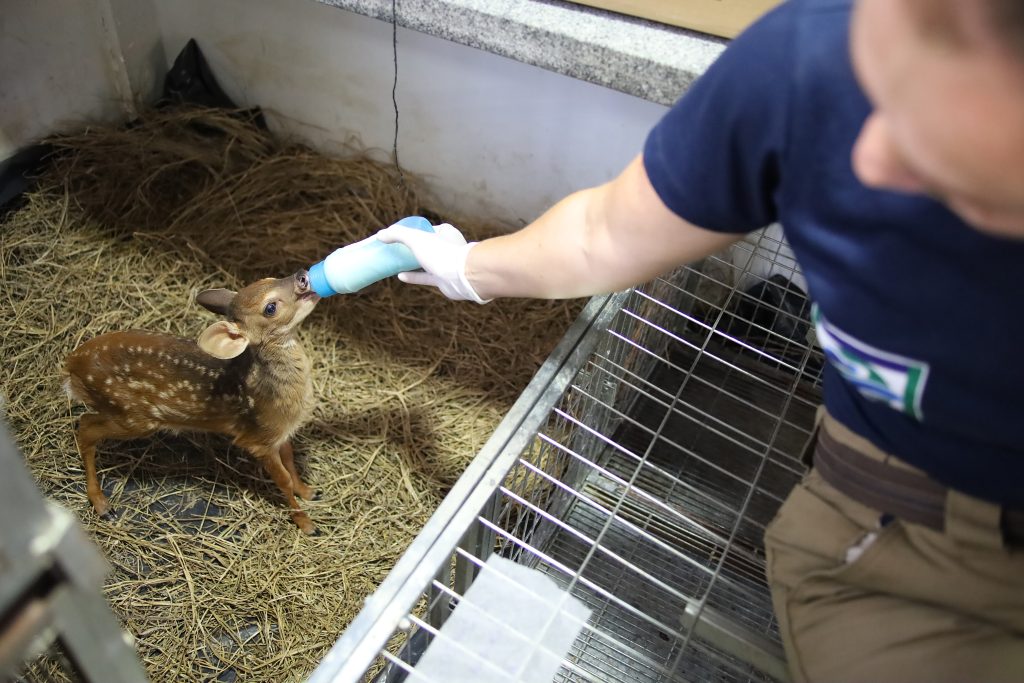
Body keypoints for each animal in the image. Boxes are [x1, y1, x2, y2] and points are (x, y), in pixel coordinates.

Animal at [65, 270, 319, 532]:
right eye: (270, 308)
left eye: (268, 279)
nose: (301, 275)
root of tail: (71, 363)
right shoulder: (258, 439)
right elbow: (283, 479)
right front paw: (305, 523)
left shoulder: (281, 432)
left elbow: (290, 460)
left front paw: (309, 492)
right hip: (131, 415)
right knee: (85, 426)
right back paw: (102, 505)